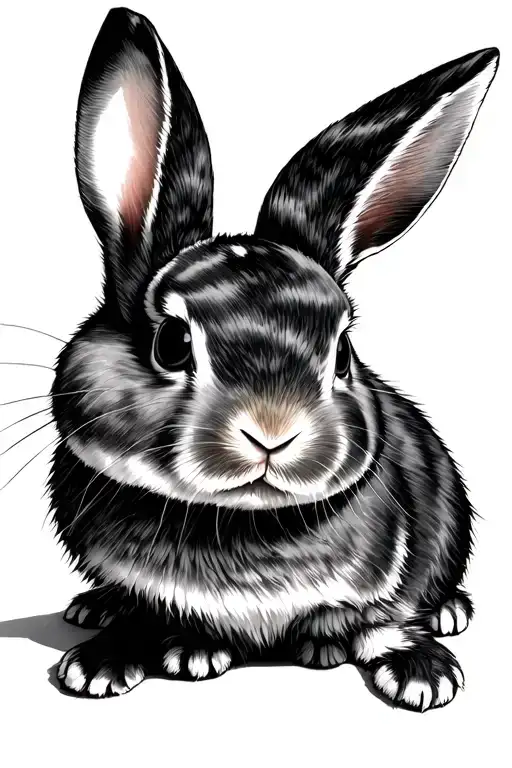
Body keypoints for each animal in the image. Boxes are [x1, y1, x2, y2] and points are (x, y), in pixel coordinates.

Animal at [48, 6, 498, 709]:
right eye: (172, 342)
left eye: (342, 353)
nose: (273, 431)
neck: (236, 523)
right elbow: (146, 610)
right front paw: (112, 662)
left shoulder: (390, 580)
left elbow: (385, 621)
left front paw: (423, 676)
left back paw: (440, 614)